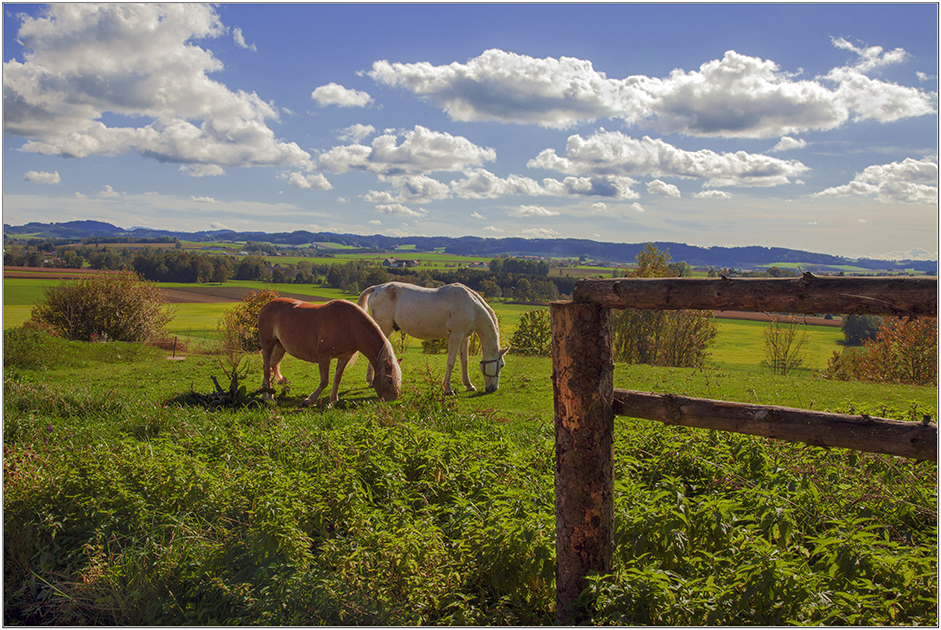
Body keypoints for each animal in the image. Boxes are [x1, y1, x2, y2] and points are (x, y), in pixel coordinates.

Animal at [258, 300, 402, 408]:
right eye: (389, 380)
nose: (393, 400)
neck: (350, 324)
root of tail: (266, 306)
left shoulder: (344, 357)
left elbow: (337, 379)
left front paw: (333, 400)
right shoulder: (324, 357)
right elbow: (324, 381)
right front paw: (309, 400)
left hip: (280, 347)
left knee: (270, 368)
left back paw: (266, 395)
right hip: (268, 345)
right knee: (266, 369)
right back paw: (268, 398)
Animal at [358, 282, 506, 396]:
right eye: (502, 365)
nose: (493, 389)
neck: (472, 306)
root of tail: (377, 288)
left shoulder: (465, 337)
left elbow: (464, 361)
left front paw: (469, 385)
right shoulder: (456, 336)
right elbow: (451, 362)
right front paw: (448, 389)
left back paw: (370, 381)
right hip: (384, 327)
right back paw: (371, 381)